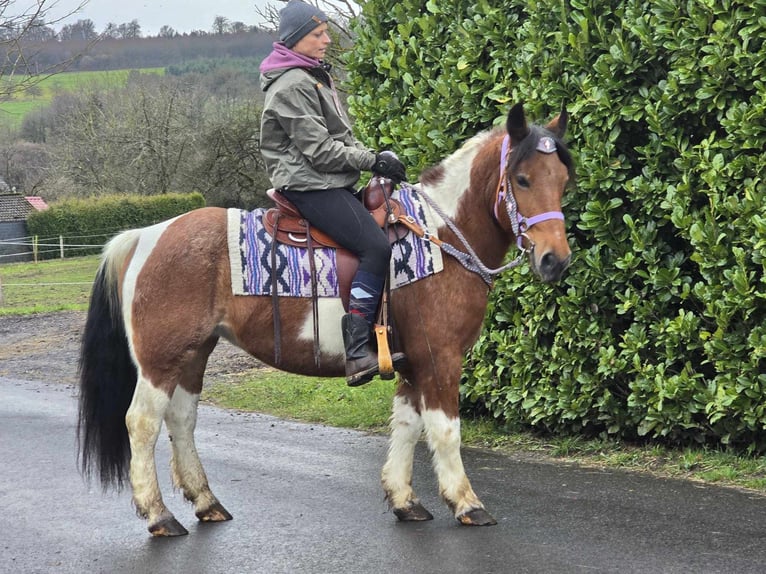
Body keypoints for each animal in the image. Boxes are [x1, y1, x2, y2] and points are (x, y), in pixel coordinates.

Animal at [76, 101, 576, 536]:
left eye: (564, 180)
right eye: (523, 179)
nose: (555, 260)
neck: (439, 240)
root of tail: (145, 235)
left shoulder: (411, 362)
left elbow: (407, 427)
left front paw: (404, 500)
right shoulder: (440, 359)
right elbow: (445, 431)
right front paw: (467, 503)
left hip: (194, 352)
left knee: (181, 418)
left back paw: (206, 501)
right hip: (160, 360)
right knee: (142, 423)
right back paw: (159, 515)